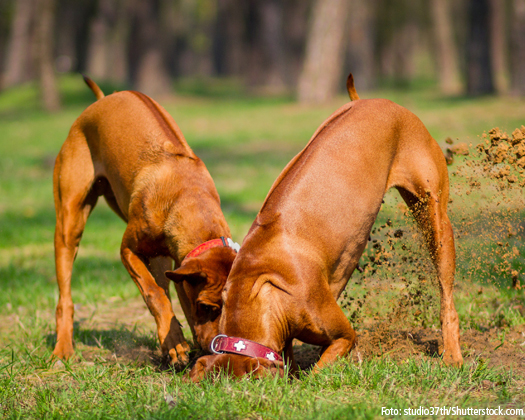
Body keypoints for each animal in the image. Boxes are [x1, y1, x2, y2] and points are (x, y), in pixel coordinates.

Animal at [52, 76, 237, 368]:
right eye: (207, 306)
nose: (215, 349)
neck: (189, 198)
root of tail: (103, 98)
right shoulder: (128, 250)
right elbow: (154, 294)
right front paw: (175, 343)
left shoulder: (176, 264)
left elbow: (172, 297)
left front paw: (177, 344)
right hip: (69, 223)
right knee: (65, 296)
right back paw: (63, 348)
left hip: (156, 254)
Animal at [190, 73, 460, 380]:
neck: (255, 284)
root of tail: (375, 101)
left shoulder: (343, 334)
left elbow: (319, 370)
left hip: (435, 219)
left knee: (446, 296)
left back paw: (452, 355)